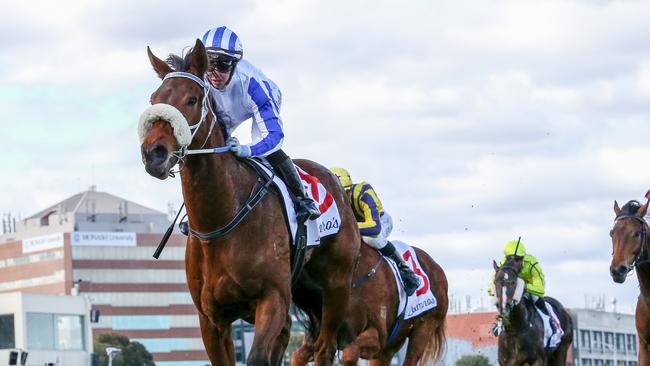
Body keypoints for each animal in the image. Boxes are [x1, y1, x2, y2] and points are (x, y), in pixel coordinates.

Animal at [138, 38, 360, 364]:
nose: (153, 153)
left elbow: (257, 356)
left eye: (192, 99)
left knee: (325, 347)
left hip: (337, 286)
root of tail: (335, 183)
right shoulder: (211, 319)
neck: (220, 221)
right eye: (154, 99)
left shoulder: (272, 299)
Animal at [290, 243, 446, 366]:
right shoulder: (318, 334)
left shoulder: (378, 335)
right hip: (394, 342)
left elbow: (350, 353)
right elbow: (298, 355)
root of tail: (439, 269)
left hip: (424, 328)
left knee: (411, 358)